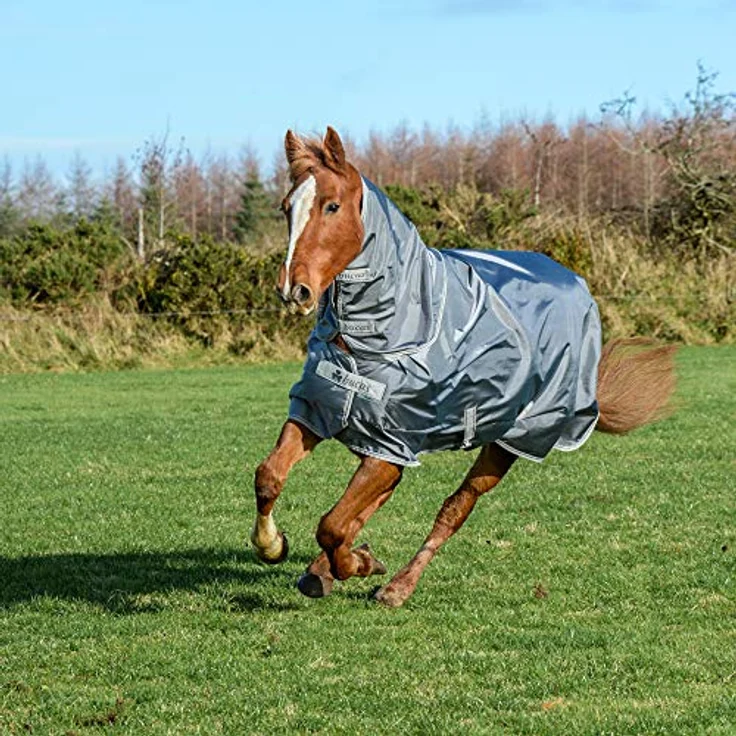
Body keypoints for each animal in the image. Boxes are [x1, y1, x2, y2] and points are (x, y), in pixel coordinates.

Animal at [250, 126, 677, 608]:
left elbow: (332, 525)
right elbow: (270, 477)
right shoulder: (322, 414)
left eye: (332, 206)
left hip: (508, 443)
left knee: (454, 508)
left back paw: (396, 585)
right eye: (286, 207)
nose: (294, 290)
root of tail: (577, 287)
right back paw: (327, 570)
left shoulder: (389, 445)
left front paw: (357, 564)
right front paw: (274, 545)